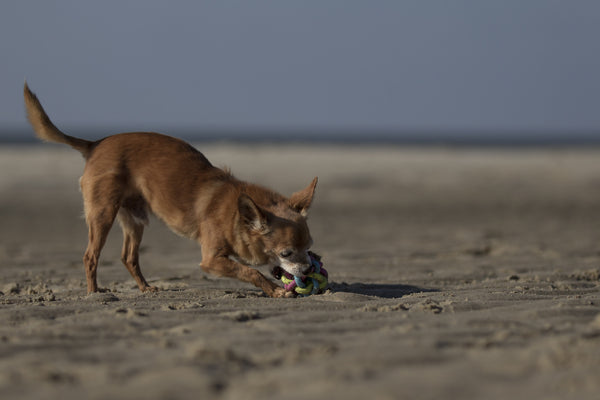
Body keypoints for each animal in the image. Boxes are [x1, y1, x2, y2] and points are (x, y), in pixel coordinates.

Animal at [23, 83, 316, 298]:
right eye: (286, 253)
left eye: (310, 247)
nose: (307, 269)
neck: (236, 216)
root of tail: (95, 144)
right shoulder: (211, 260)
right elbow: (250, 271)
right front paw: (276, 291)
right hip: (103, 214)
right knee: (90, 256)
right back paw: (94, 292)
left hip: (135, 218)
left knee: (128, 257)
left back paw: (145, 288)